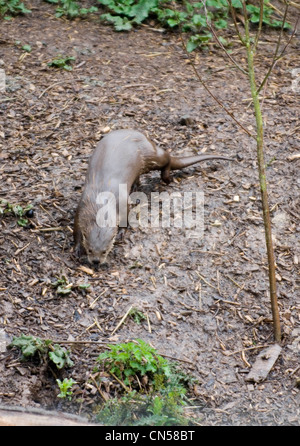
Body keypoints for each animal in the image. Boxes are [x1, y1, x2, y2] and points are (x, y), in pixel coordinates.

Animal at [74, 128, 233, 264]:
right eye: (90, 249)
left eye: (105, 250)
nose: (96, 261)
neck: (101, 200)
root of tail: (148, 140)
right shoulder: (82, 204)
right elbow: (77, 228)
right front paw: (77, 247)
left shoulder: (123, 203)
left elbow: (127, 219)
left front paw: (121, 233)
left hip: (150, 155)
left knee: (167, 158)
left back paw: (167, 178)